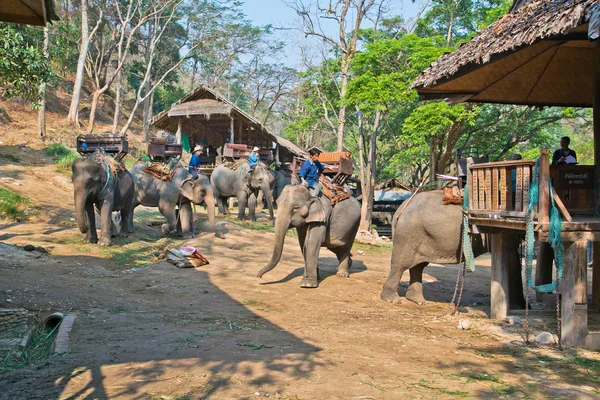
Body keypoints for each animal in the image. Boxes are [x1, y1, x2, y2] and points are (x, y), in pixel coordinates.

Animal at [382, 189, 524, 308]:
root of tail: (403, 205)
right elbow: (512, 257)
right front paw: (518, 306)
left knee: (418, 266)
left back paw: (418, 301)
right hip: (408, 233)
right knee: (401, 264)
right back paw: (392, 299)